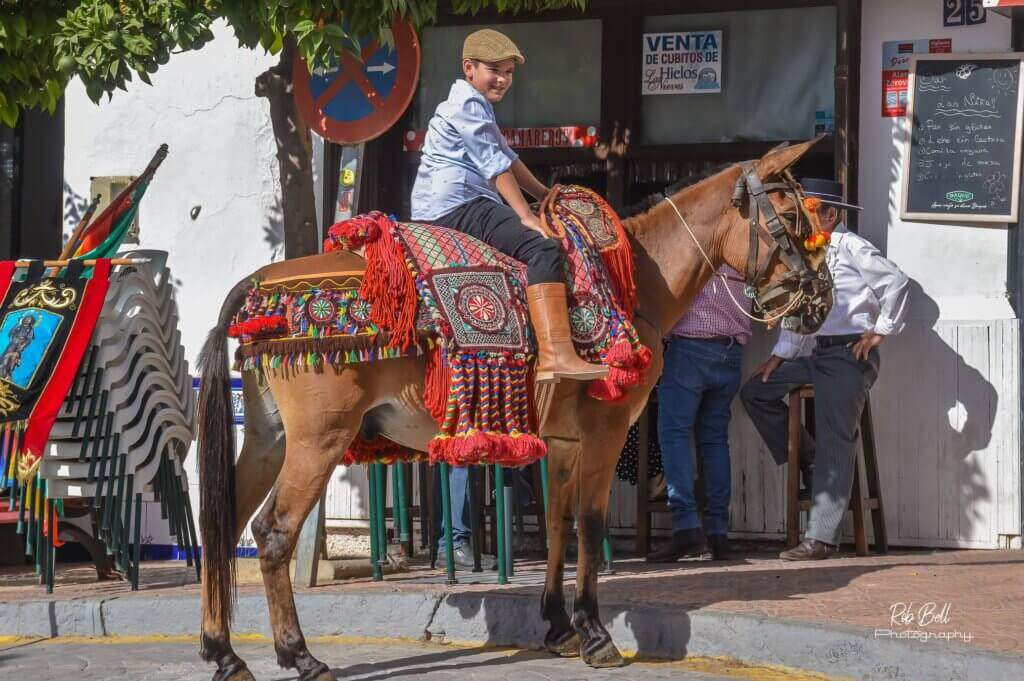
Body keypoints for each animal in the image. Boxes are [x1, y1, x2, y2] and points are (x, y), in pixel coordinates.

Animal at [197, 138, 831, 679]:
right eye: (792, 219)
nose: (820, 301)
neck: (631, 283)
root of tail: (260, 285)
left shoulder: (564, 442)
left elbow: (556, 524)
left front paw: (557, 625)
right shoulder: (604, 433)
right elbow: (589, 523)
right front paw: (594, 633)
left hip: (269, 437)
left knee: (220, 524)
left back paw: (225, 652)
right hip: (318, 439)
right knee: (274, 532)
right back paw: (299, 654)